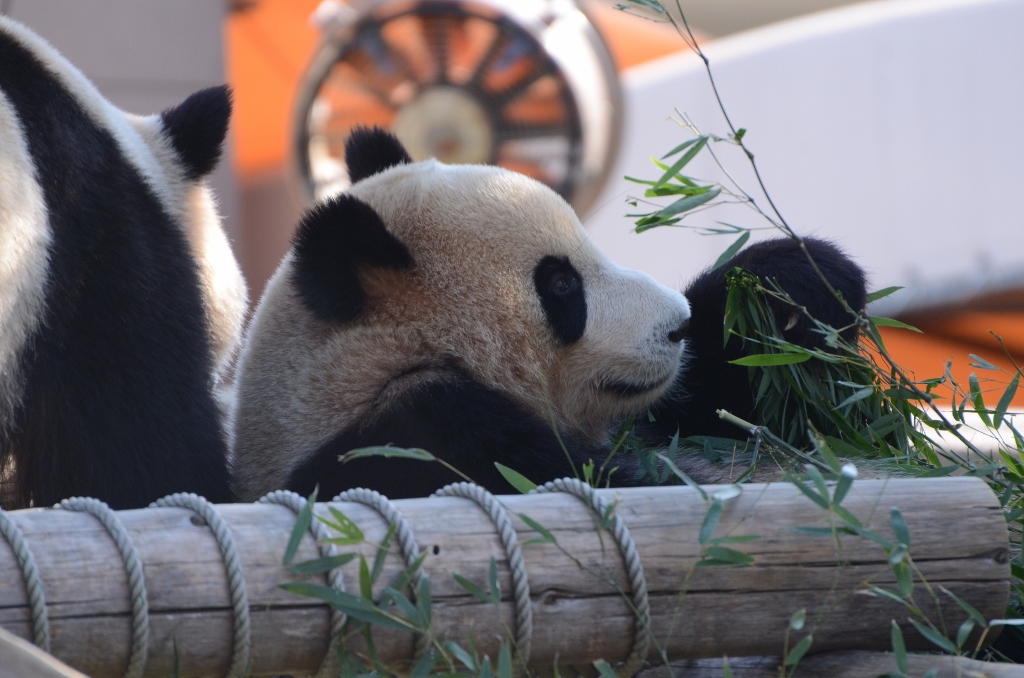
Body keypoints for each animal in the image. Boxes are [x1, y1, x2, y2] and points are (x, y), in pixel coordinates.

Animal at [232, 127, 864, 501]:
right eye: (562, 284)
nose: (676, 327)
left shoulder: (649, 414)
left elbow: (724, 397)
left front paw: (799, 285)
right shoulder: (414, 441)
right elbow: (614, 483)